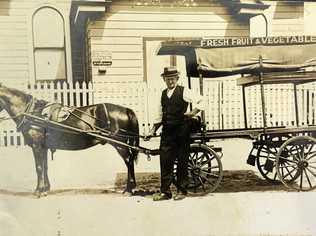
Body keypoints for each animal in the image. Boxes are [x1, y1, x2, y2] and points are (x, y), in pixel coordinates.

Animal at [0, 83, 139, 197]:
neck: (32, 113)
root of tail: (126, 110)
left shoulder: (36, 146)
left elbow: (38, 167)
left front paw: (39, 191)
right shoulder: (43, 147)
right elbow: (45, 167)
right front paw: (46, 188)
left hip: (120, 145)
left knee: (129, 161)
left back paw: (129, 189)